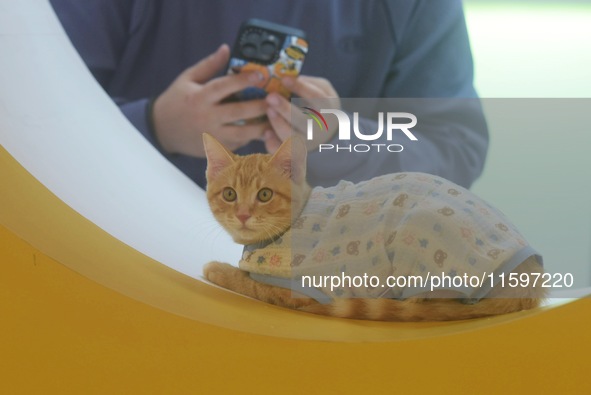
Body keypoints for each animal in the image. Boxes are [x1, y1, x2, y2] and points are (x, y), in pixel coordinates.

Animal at [202, 134, 544, 322]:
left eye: (264, 195)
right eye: (230, 194)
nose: (243, 215)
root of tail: (532, 280)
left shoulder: (300, 289)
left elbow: (252, 283)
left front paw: (219, 269)